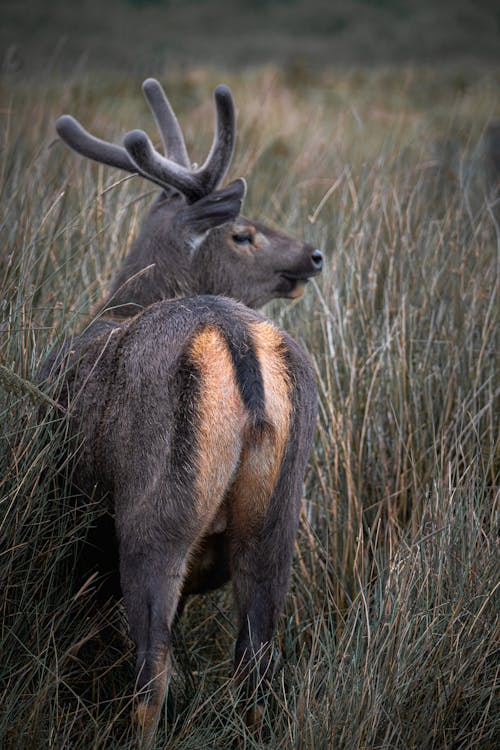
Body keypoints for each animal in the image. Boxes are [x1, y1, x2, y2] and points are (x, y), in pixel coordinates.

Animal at [45, 79, 322, 744]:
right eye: (243, 232)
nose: (314, 255)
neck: (116, 306)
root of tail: (236, 336)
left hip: (156, 512)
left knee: (152, 675)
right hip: (277, 521)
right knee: (256, 664)